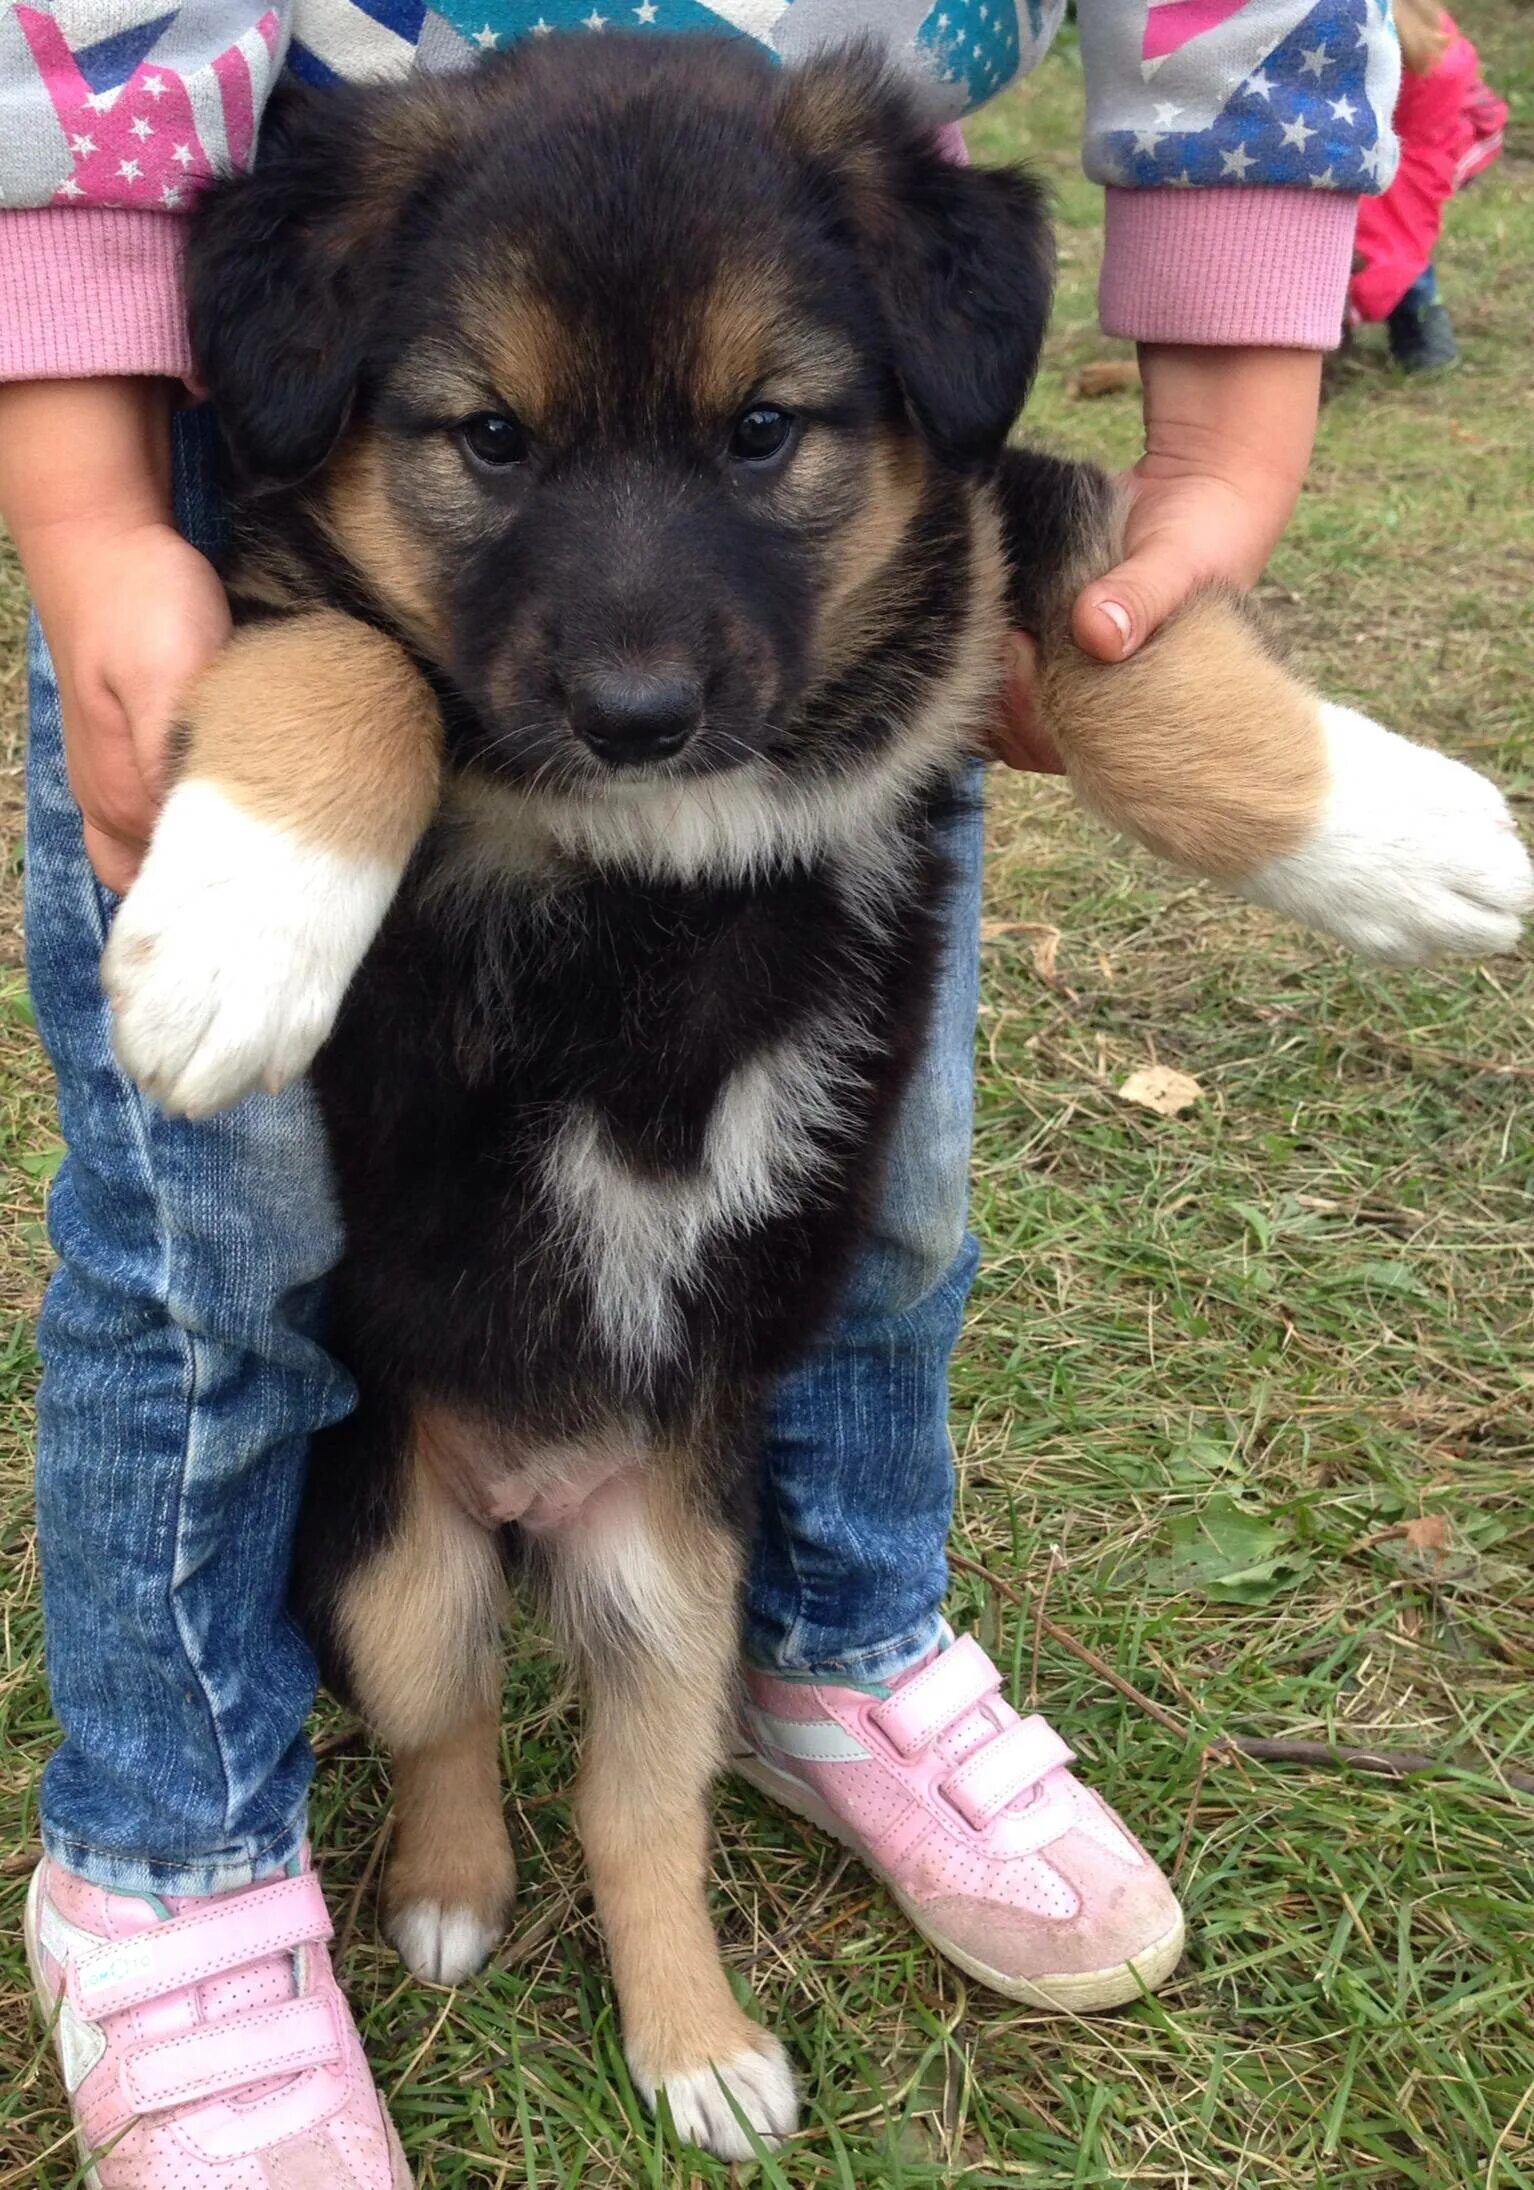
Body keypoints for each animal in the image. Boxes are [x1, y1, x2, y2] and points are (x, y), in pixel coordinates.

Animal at [101, 29, 1525, 2154]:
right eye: (485, 439)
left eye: (765, 429)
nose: (635, 718)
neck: (671, 830)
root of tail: (536, 1492)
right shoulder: (295, 600)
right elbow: (363, 665)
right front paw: (228, 938)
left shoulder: (973, 563)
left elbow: (1114, 637)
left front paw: (1407, 843)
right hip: (391, 1560)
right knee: (451, 1728)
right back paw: (449, 1900)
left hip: (674, 1577)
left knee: (636, 1813)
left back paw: (700, 2053)